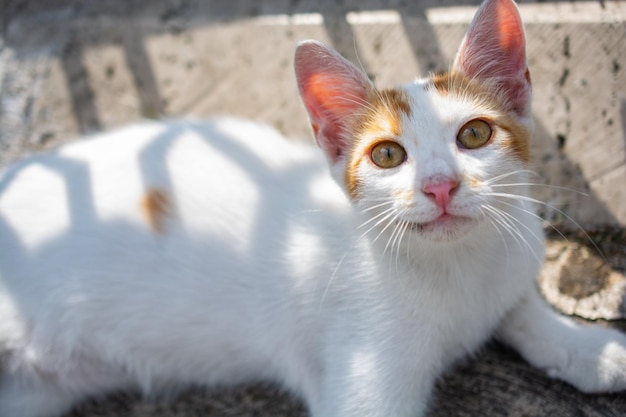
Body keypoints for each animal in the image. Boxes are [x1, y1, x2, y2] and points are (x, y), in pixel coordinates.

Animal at [1, 0, 624, 416]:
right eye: (387, 154)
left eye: (474, 135)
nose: (441, 186)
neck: (457, 268)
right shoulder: (364, 384)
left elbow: (519, 307)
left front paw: (585, 348)